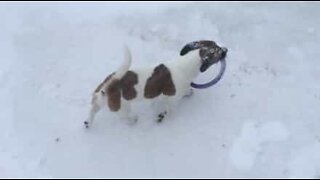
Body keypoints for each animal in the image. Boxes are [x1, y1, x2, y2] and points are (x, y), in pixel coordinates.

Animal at [84, 40, 226, 128]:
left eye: (215, 43)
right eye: (218, 51)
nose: (226, 49)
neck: (185, 65)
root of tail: (110, 84)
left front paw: (188, 92)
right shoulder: (173, 99)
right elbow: (169, 109)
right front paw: (162, 116)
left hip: (100, 99)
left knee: (93, 109)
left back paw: (88, 123)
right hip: (123, 106)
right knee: (123, 118)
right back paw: (132, 120)